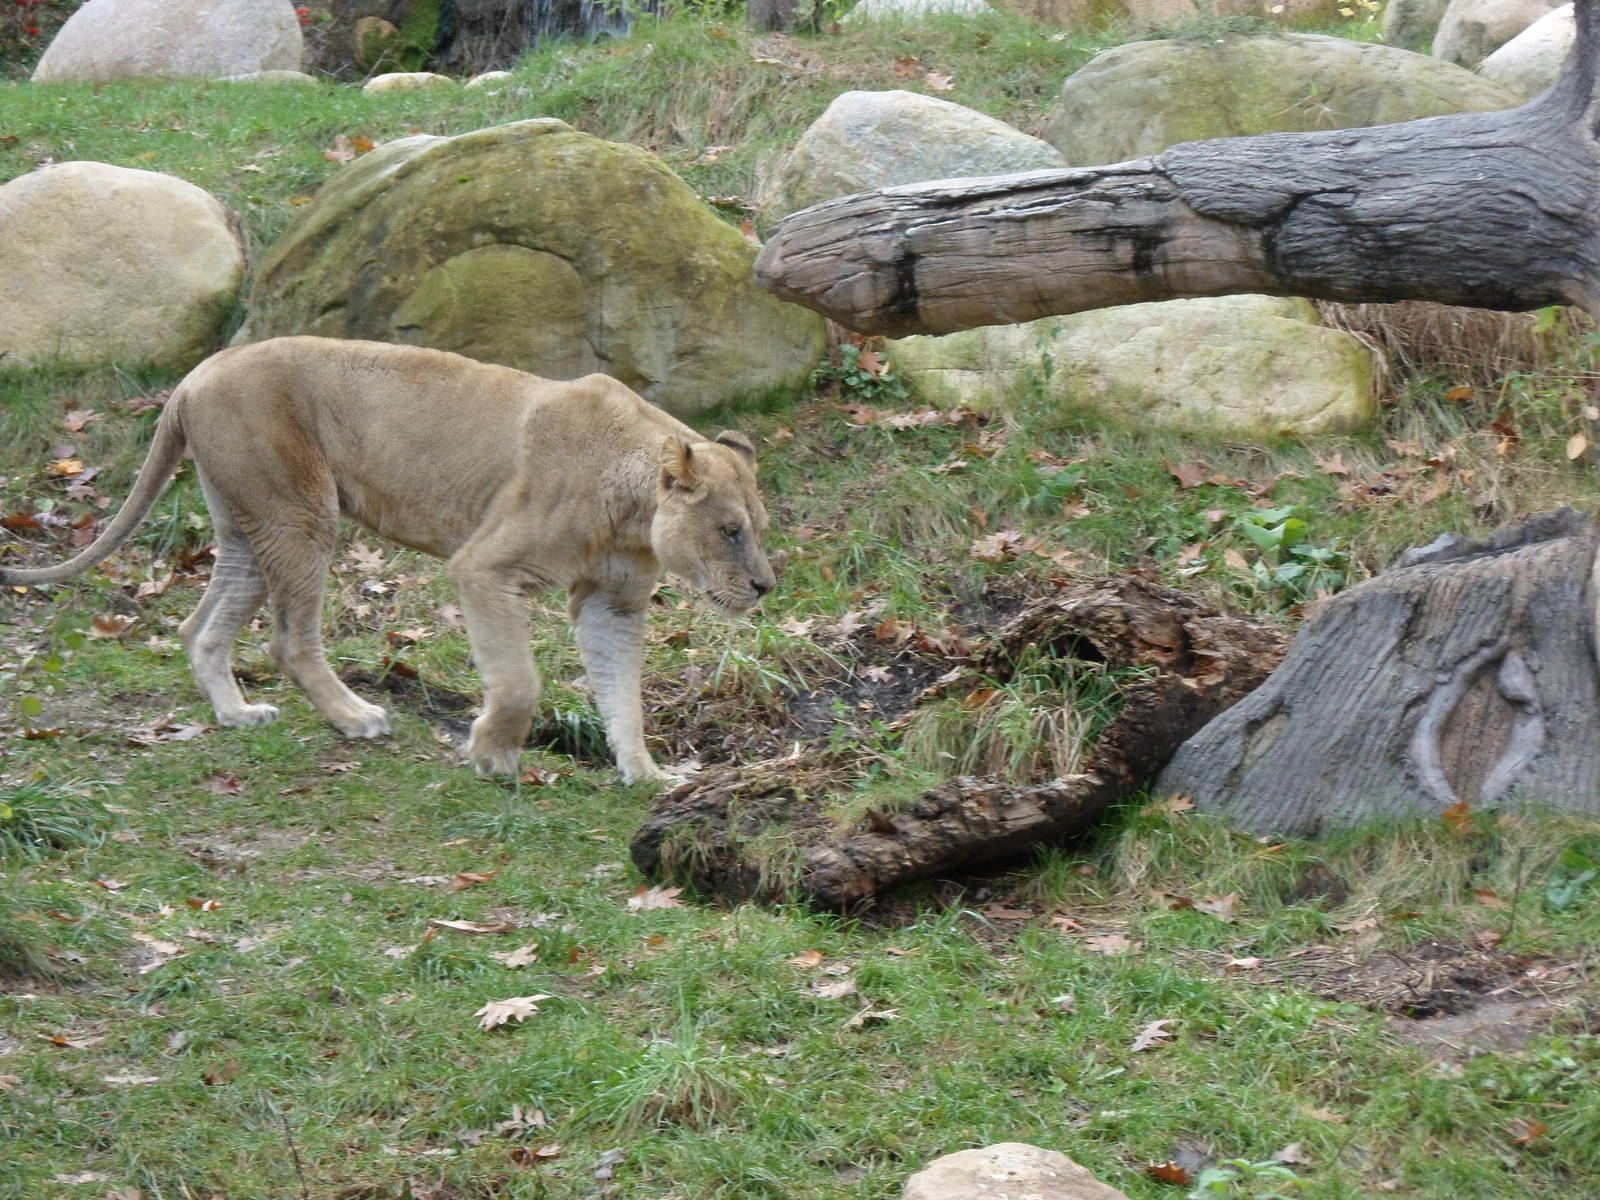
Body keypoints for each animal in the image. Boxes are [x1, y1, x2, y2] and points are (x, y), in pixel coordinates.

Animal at [0, 336, 776, 783]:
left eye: (757, 528)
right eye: (730, 530)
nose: (766, 587)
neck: (633, 508)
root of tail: (193, 377)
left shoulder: (612, 602)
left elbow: (624, 698)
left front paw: (647, 776)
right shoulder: (486, 567)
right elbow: (519, 682)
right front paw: (491, 754)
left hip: (247, 521)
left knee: (198, 628)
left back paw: (238, 714)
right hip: (300, 512)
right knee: (288, 641)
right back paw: (354, 717)